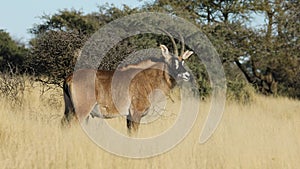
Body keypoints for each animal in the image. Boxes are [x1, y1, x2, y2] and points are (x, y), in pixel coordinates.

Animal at [61, 30, 193, 133]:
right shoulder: (136, 114)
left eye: (183, 61)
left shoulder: (128, 117)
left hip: (69, 110)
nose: (187, 75)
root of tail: (69, 78)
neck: (147, 77)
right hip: (81, 112)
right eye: (174, 62)